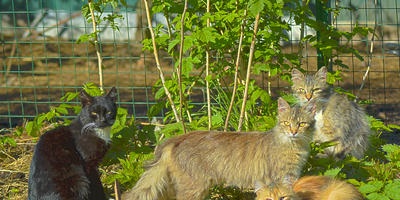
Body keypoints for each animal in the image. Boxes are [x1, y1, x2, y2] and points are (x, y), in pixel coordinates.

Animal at [122, 98, 316, 200]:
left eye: (301, 124)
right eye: (286, 123)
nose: (293, 131)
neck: (294, 145)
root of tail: (177, 138)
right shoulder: (279, 177)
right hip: (194, 189)